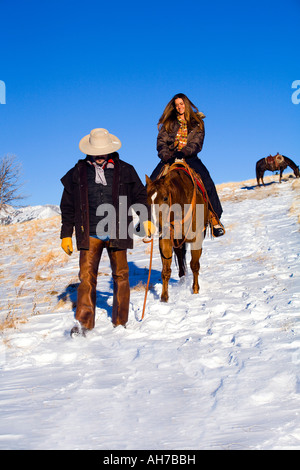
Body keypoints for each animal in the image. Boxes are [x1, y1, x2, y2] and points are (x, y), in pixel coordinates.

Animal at [146, 160, 207, 302]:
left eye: (165, 198)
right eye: (147, 200)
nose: (154, 228)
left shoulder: (197, 239)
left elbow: (194, 265)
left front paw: (195, 290)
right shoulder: (166, 239)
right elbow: (166, 270)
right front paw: (164, 298)